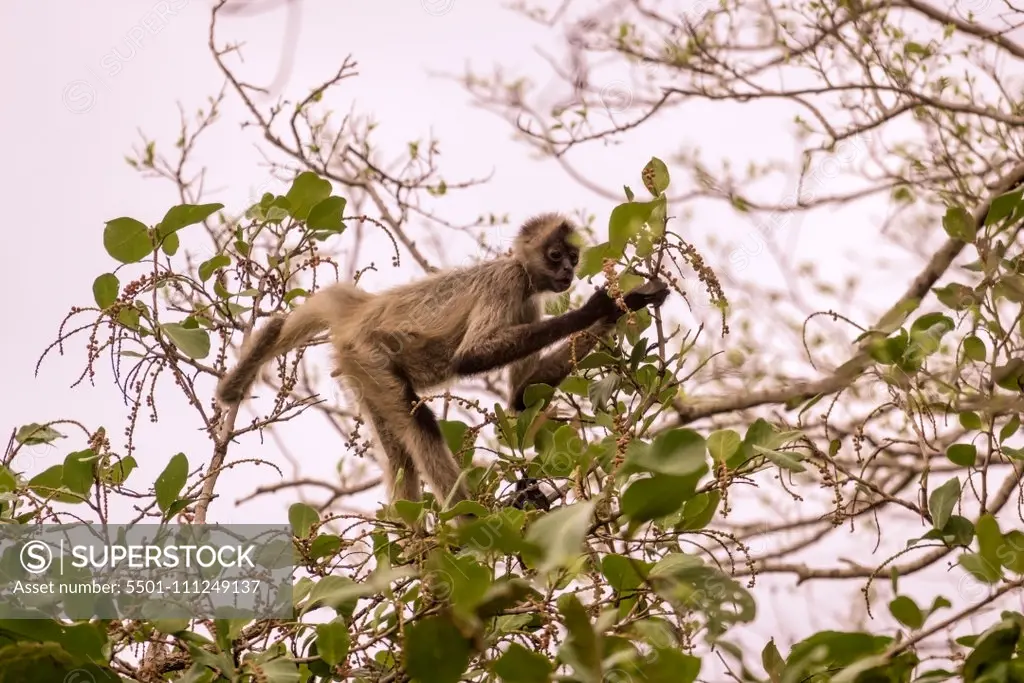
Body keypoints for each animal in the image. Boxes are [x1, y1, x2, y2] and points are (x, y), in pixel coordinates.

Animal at [214, 210, 671, 516]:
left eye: (572, 257)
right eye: (555, 254)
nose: (568, 273)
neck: (521, 275)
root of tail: (362, 311)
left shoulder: (529, 302)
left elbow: (522, 397)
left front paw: (627, 302)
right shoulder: (507, 282)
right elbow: (469, 358)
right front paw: (599, 306)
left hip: (364, 371)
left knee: (400, 454)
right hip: (369, 353)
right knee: (421, 426)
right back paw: (472, 521)